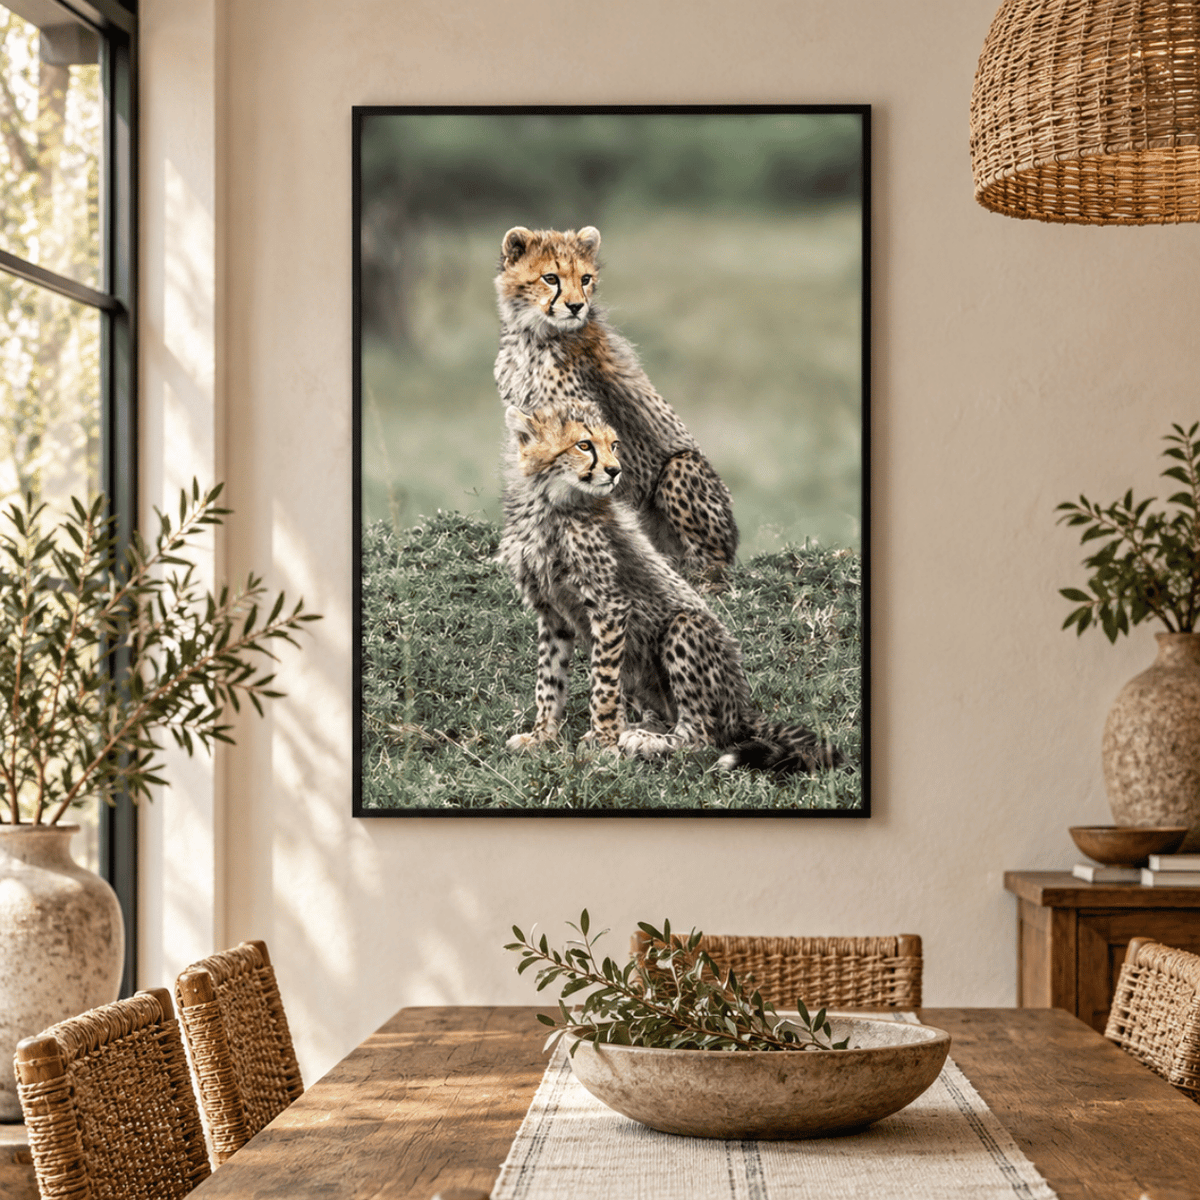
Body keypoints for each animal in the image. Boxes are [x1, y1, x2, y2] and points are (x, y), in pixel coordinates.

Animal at [493, 224, 738, 590]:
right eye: (550, 278)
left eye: (585, 278)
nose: (576, 306)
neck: (535, 335)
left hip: (683, 465)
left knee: (711, 561)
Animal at [498, 400, 841, 774]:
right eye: (584, 445)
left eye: (614, 444)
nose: (615, 471)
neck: (552, 504)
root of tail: (742, 704)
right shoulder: (552, 613)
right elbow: (549, 679)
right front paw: (542, 736)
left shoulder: (610, 606)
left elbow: (602, 685)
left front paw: (604, 743)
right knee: (664, 716)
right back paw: (636, 729)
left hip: (684, 627)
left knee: (701, 735)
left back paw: (644, 741)